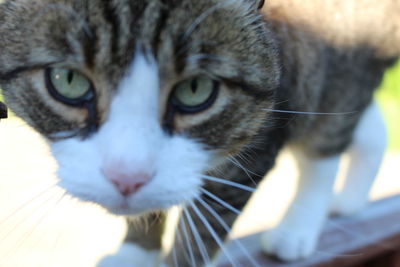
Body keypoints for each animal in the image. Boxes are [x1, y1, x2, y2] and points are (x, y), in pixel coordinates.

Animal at [0, 0, 398, 266]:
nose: (126, 178)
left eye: (196, 89)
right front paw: (135, 252)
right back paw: (349, 200)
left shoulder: (257, 139)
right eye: (68, 80)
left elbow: (202, 230)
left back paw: (296, 230)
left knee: (325, 147)